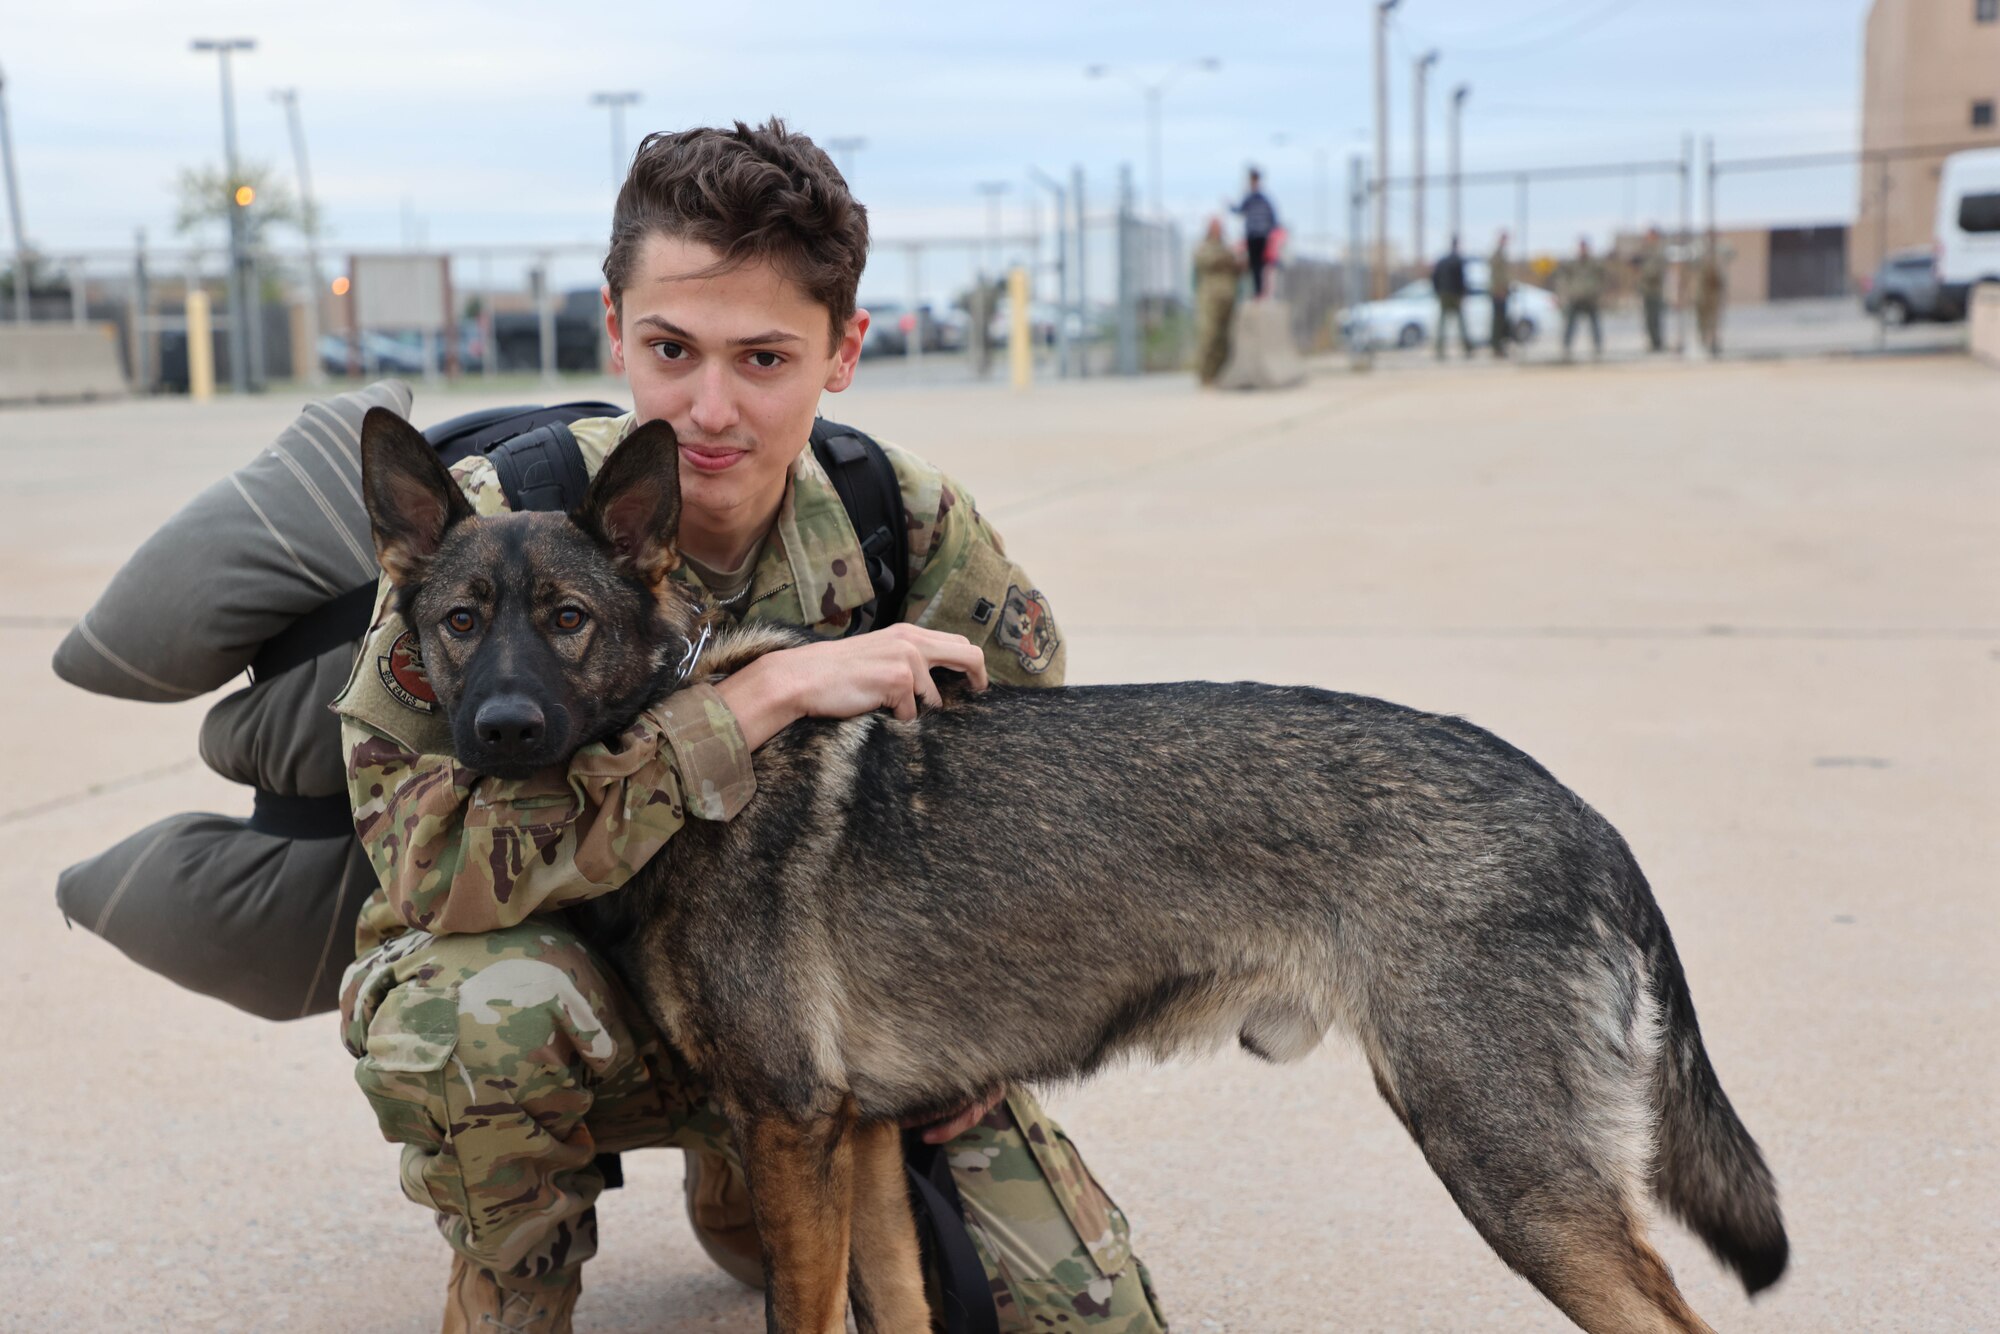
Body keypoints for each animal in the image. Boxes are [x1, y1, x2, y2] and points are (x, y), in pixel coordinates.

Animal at [356, 410, 1784, 1334]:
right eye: (459, 622)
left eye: (568, 620)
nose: (497, 734)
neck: (693, 744)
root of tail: (1582, 815)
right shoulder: (858, 1145)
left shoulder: (791, 1130)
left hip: (1501, 1157)